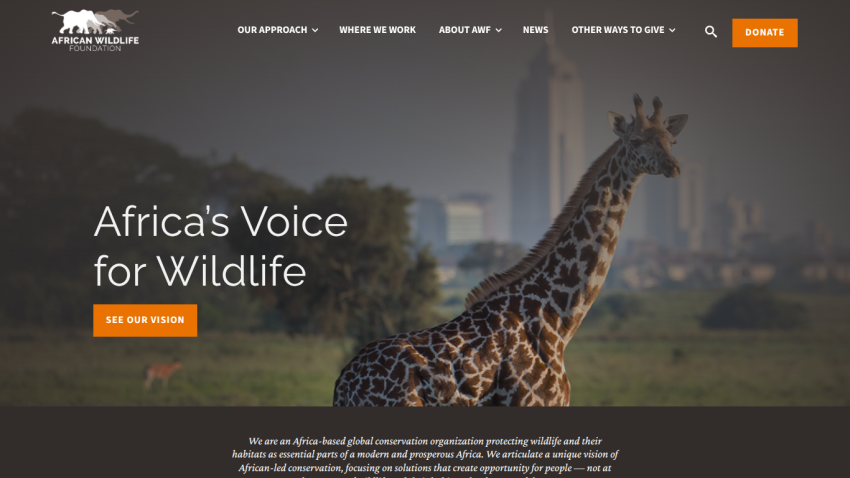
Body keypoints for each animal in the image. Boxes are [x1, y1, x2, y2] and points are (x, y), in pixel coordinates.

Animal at [333, 94, 688, 406]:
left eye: (671, 141)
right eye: (636, 141)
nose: (673, 166)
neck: (557, 319)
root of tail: (344, 385)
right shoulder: (533, 402)